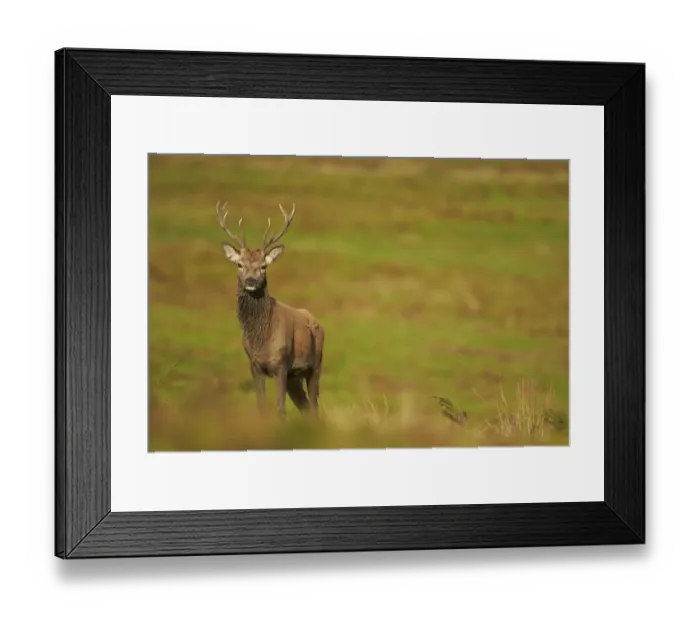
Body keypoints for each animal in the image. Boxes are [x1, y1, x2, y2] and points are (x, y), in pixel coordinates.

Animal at [215, 201, 325, 420]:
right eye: (240, 264)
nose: (251, 281)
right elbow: (262, 408)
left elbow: (280, 410)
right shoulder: (254, 365)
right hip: (294, 377)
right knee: (305, 406)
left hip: (315, 364)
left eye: (263, 266)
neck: (262, 339)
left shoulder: (281, 364)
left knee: (314, 407)